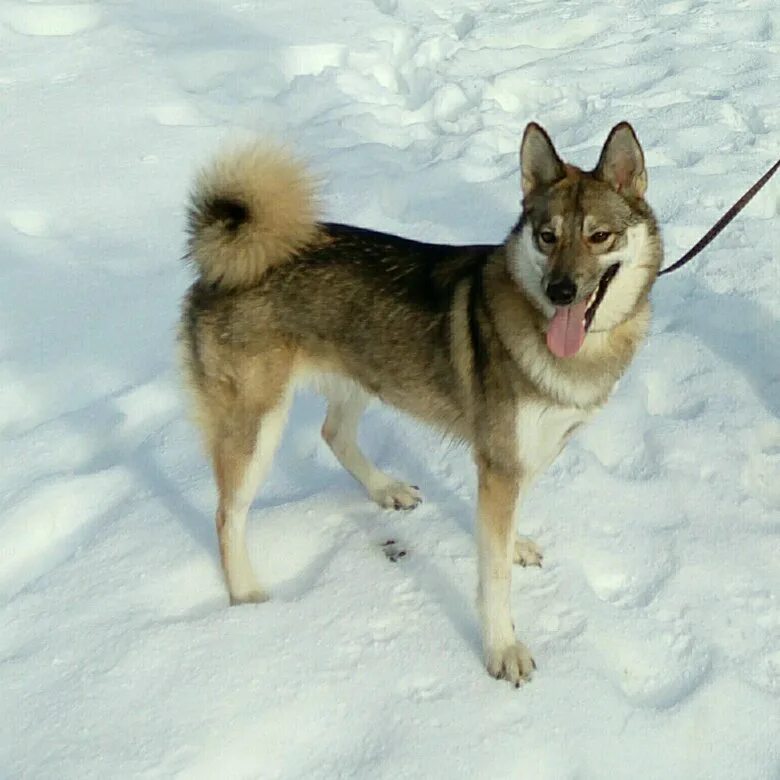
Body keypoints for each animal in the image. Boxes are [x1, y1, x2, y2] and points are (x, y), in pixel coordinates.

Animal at [180, 120, 660, 684]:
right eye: (548, 236)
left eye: (599, 236)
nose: (560, 290)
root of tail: (223, 260)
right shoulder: (500, 462)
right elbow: (493, 576)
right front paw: (502, 648)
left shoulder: (524, 455)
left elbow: (504, 533)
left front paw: (515, 545)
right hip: (257, 425)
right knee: (227, 515)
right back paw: (247, 597)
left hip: (360, 375)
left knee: (333, 434)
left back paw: (386, 489)